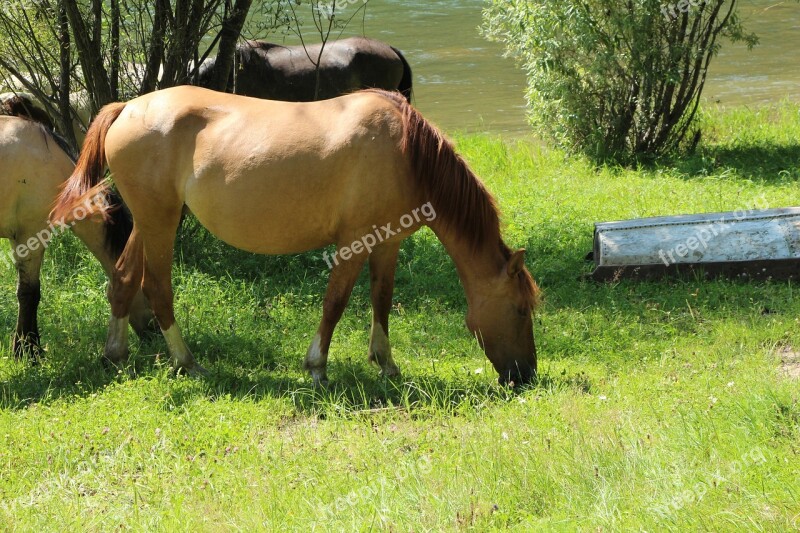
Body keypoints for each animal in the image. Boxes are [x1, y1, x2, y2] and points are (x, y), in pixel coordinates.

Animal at [53, 86, 540, 386]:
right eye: (520, 310)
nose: (525, 376)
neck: (405, 151)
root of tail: (128, 107)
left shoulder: (388, 242)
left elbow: (381, 300)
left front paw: (386, 364)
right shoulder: (355, 241)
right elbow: (335, 303)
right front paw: (317, 368)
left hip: (150, 220)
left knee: (122, 279)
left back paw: (115, 354)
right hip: (160, 223)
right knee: (156, 288)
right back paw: (187, 363)